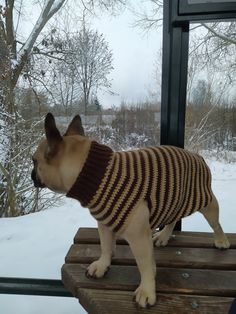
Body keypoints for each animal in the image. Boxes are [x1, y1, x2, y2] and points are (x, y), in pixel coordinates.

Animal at [31, 113, 230, 310]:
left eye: (34, 161)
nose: (31, 174)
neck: (95, 174)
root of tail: (198, 156)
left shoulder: (138, 237)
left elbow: (145, 265)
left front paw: (147, 290)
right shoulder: (103, 224)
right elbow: (105, 246)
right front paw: (103, 264)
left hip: (207, 203)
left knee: (216, 224)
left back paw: (221, 240)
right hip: (173, 201)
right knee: (173, 219)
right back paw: (164, 236)